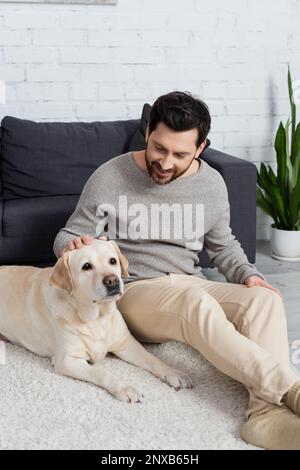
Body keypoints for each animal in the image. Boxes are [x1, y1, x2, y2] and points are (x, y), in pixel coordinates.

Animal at [0, 241, 193, 402]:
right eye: (86, 266)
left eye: (113, 261)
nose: (113, 280)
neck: (97, 318)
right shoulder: (67, 360)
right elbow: (101, 372)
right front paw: (125, 387)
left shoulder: (126, 344)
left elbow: (152, 359)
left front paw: (174, 373)